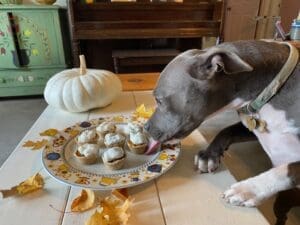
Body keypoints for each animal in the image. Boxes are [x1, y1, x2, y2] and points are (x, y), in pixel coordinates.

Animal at [144, 40, 298, 207]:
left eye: (158, 100)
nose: (145, 127)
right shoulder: (252, 126)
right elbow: (227, 130)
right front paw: (209, 155)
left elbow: (288, 169)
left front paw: (248, 189)